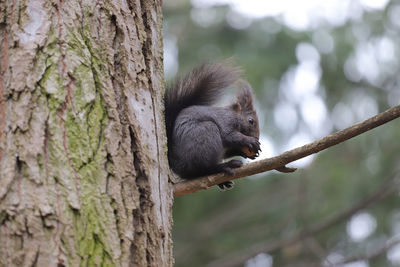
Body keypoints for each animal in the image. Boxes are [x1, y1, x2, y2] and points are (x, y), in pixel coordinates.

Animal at [164, 61, 260, 189]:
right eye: (251, 121)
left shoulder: (225, 149)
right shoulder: (225, 121)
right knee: (204, 168)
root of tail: (178, 165)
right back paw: (225, 166)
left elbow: (228, 151)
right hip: (206, 134)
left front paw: (247, 153)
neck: (234, 114)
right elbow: (229, 135)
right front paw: (250, 141)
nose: (256, 137)